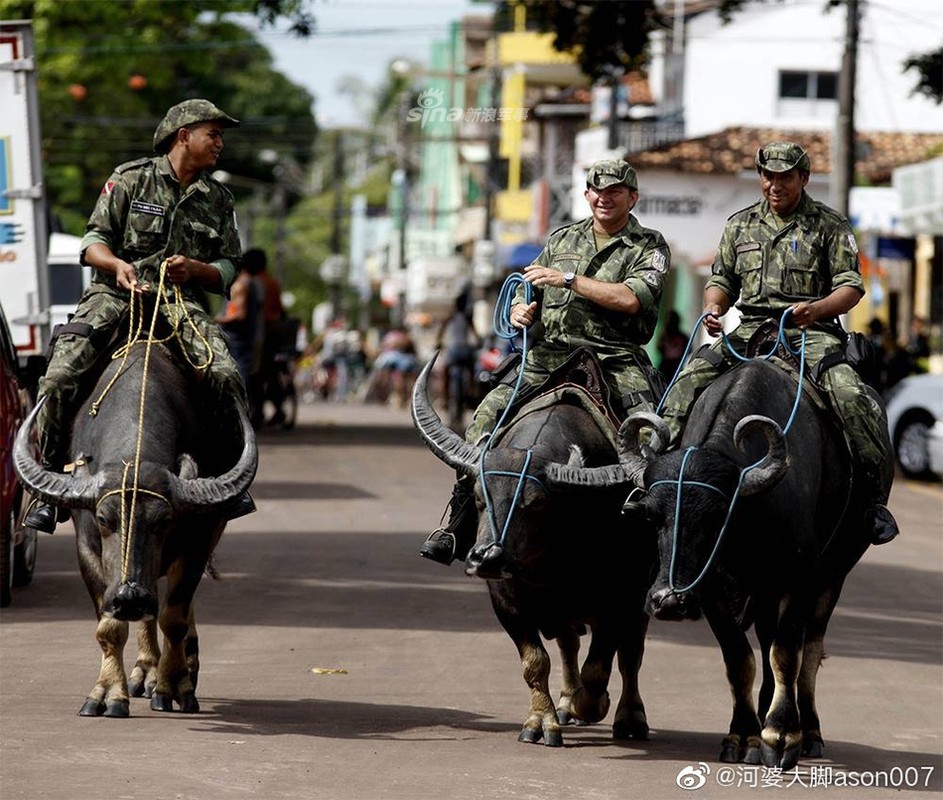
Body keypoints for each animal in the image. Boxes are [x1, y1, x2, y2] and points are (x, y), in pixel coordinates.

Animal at [14, 344, 258, 720]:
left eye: (163, 520)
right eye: (103, 519)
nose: (129, 597)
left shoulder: (198, 541)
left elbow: (174, 617)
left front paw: (174, 687)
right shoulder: (88, 550)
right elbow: (110, 627)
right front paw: (108, 693)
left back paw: (185, 663)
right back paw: (146, 671)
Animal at [412, 354, 656, 748]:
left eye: (535, 504)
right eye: (478, 497)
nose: (486, 558)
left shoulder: (622, 597)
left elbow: (601, 665)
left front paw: (594, 704)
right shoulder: (506, 601)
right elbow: (535, 662)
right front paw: (542, 722)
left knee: (630, 654)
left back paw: (629, 717)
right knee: (569, 643)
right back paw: (567, 702)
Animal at [620, 358, 876, 768]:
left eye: (716, 516)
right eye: (652, 516)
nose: (669, 601)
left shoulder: (801, 580)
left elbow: (787, 654)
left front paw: (781, 735)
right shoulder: (710, 590)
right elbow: (739, 659)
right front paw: (743, 734)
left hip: (834, 574)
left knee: (810, 650)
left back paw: (809, 731)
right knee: (768, 640)